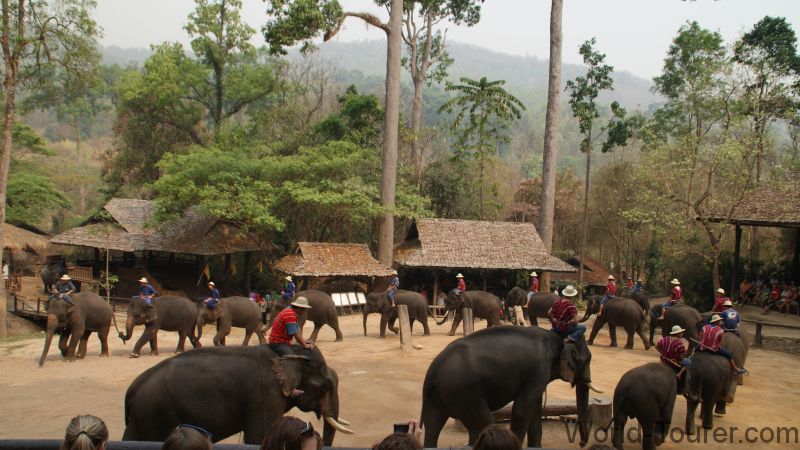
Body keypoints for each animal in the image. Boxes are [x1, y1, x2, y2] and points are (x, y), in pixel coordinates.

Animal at [122, 345, 353, 445]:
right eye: (326, 386)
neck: (287, 355)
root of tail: (133, 388)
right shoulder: (265, 394)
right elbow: (259, 436)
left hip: (140, 417)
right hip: (154, 414)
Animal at [420, 326, 602, 447]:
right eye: (586, 360)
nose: (581, 443)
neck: (558, 338)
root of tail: (433, 368)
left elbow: (535, 411)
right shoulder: (539, 370)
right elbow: (521, 409)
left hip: (440, 394)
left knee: (432, 425)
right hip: (463, 391)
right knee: (483, 423)